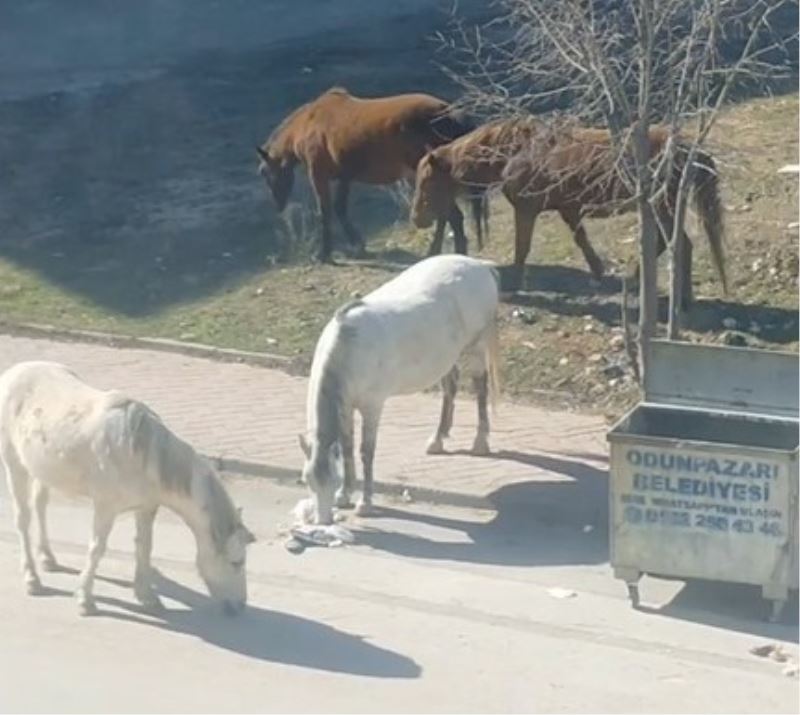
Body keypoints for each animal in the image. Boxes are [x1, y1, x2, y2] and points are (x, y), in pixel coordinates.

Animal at [0, 360, 255, 620]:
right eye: (237, 562)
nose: (239, 606)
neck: (141, 453)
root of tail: (13, 372)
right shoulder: (105, 507)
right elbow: (97, 549)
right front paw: (86, 600)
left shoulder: (146, 508)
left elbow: (144, 547)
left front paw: (147, 596)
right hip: (15, 464)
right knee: (23, 519)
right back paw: (32, 579)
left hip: (42, 469)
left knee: (40, 504)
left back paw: (47, 558)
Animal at [256, 85, 482, 262]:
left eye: (265, 173)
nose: (278, 205)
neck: (308, 124)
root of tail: (449, 113)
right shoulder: (344, 178)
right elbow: (340, 208)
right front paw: (358, 246)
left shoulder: (319, 176)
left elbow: (326, 212)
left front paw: (324, 254)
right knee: (448, 216)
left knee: (451, 216)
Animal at [300, 255, 500, 524]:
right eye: (307, 480)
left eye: (332, 481)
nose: (323, 522)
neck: (349, 348)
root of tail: (480, 264)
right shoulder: (346, 407)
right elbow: (347, 447)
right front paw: (345, 495)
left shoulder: (372, 406)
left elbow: (366, 452)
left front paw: (365, 503)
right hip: (447, 358)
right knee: (450, 387)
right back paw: (438, 439)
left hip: (477, 347)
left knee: (481, 388)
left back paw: (480, 442)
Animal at [410, 119, 728, 308]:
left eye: (427, 181)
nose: (417, 218)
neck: (515, 151)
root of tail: (687, 150)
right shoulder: (569, 210)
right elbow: (582, 240)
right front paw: (598, 272)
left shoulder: (526, 211)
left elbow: (522, 248)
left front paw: (514, 285)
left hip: (662, 207)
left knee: (679, 244)